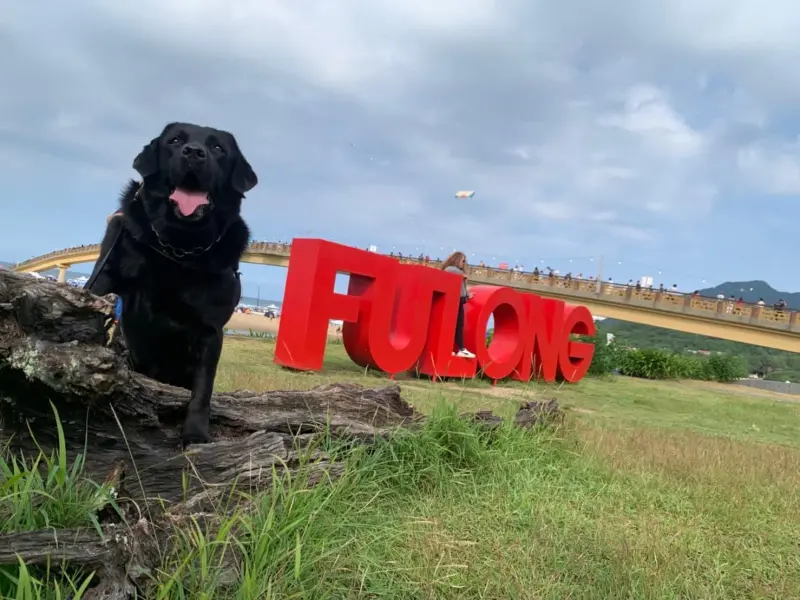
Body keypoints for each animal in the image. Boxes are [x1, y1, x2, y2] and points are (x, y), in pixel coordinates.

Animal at [88, 122, 258, 448]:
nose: (193, 152)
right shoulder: (106, 276)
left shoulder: (210, 330)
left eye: (218, 148)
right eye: (175, 140)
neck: (179, 248)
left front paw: (195, 433)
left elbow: (202, 390)